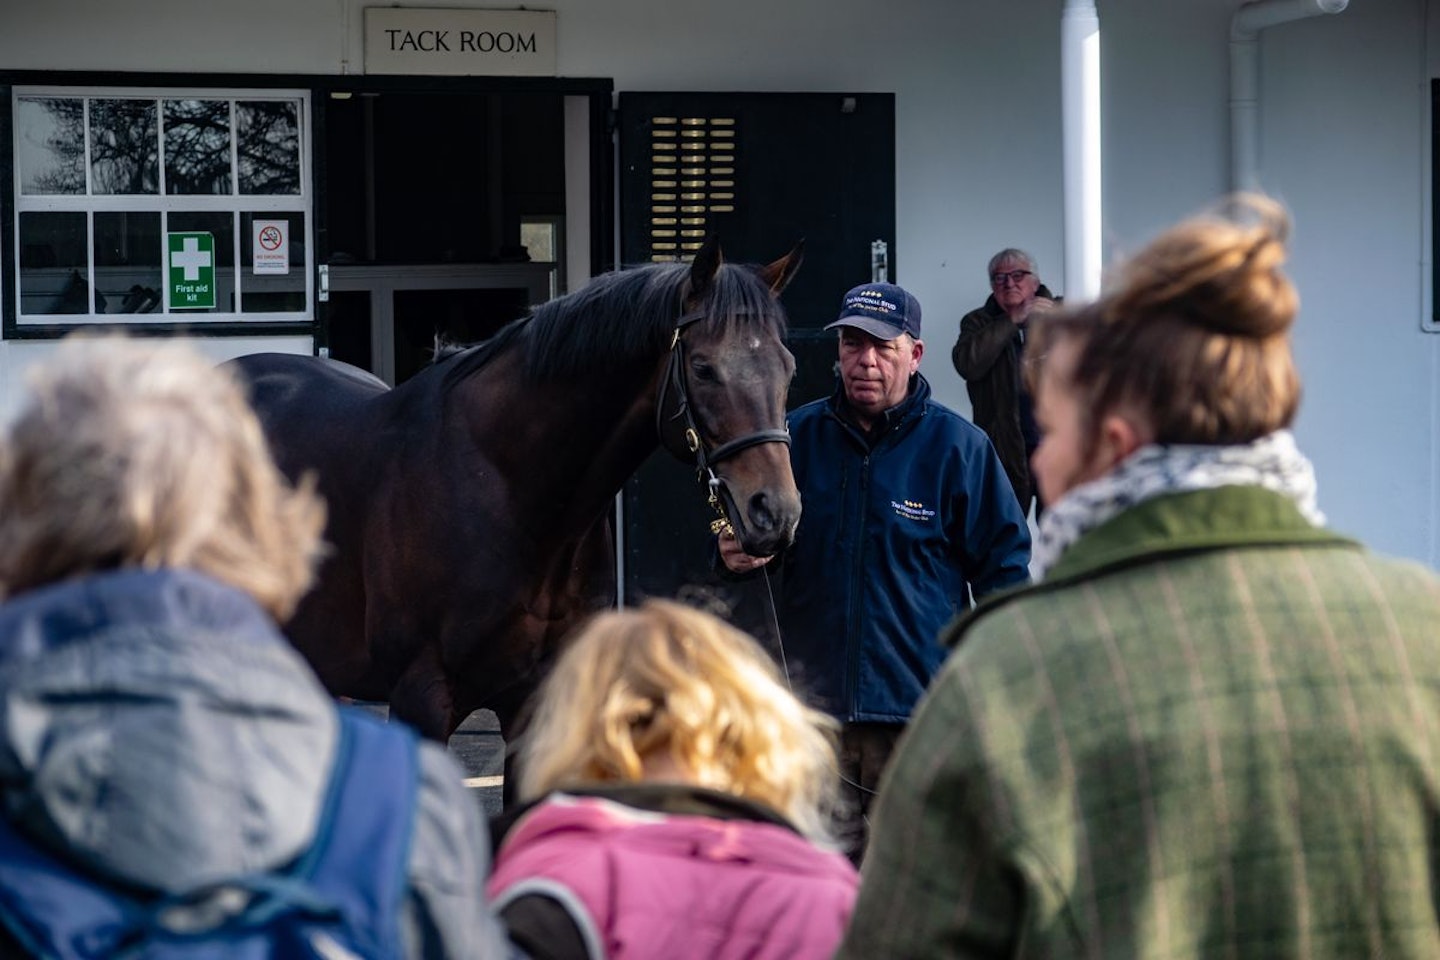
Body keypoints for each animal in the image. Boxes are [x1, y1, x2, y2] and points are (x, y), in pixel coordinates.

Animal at [230, 240, 806, 742]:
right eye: (704, 369)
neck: (510, 489)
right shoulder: (421, 696)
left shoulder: (534, 701)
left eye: (789, 366)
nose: (775, 513)